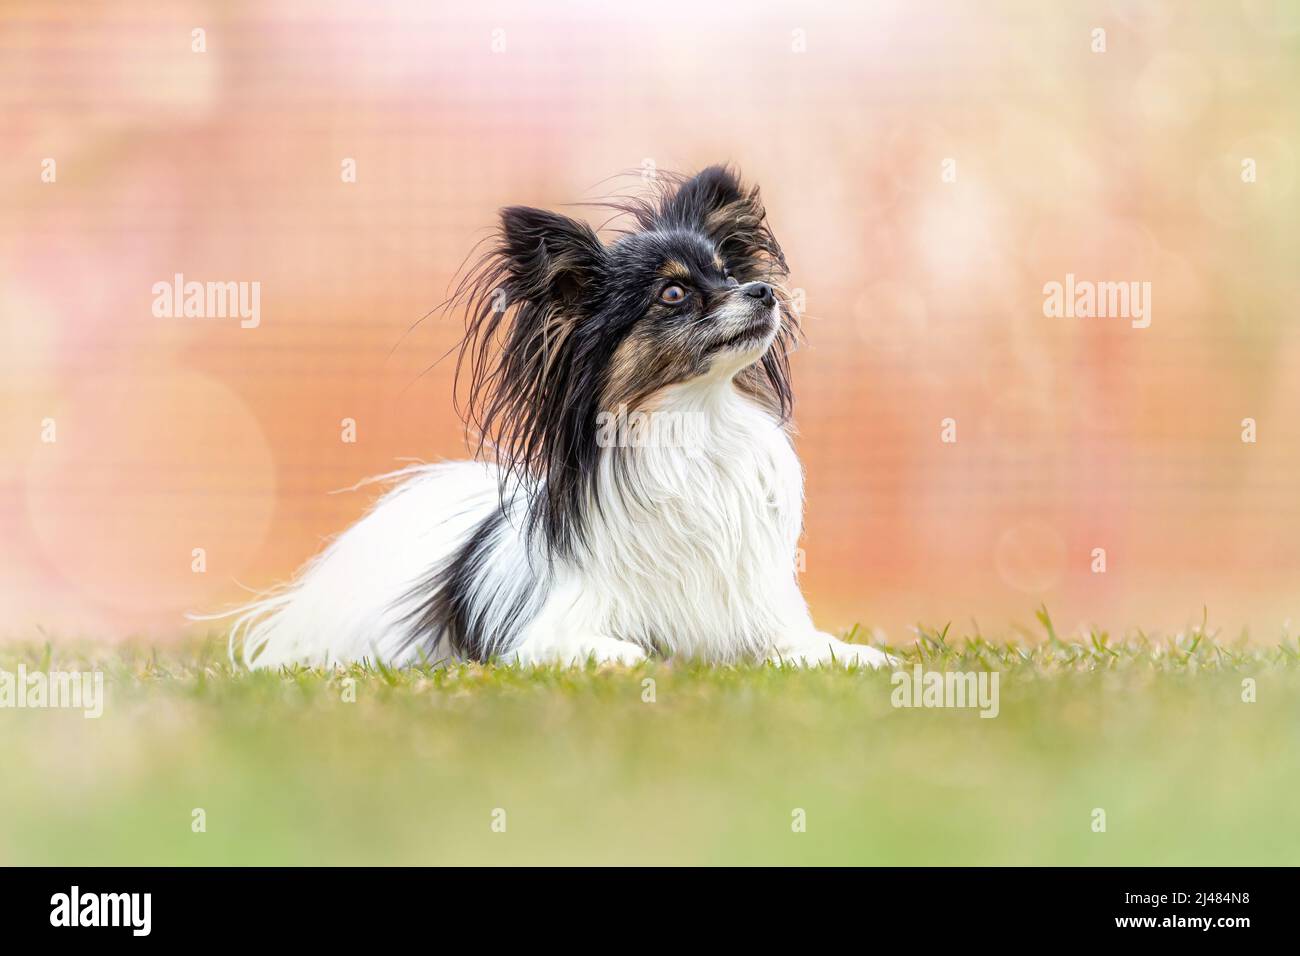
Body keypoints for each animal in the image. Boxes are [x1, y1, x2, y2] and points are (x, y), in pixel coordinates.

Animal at [226, 164, 894, 671]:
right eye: (674, 294)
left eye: (728, 273)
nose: (764, 291)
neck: (693, 426)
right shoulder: (549, 634)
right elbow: (609, 648)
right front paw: (635, 657)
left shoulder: (765, 621)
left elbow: (810, 648)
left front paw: (863, 658)